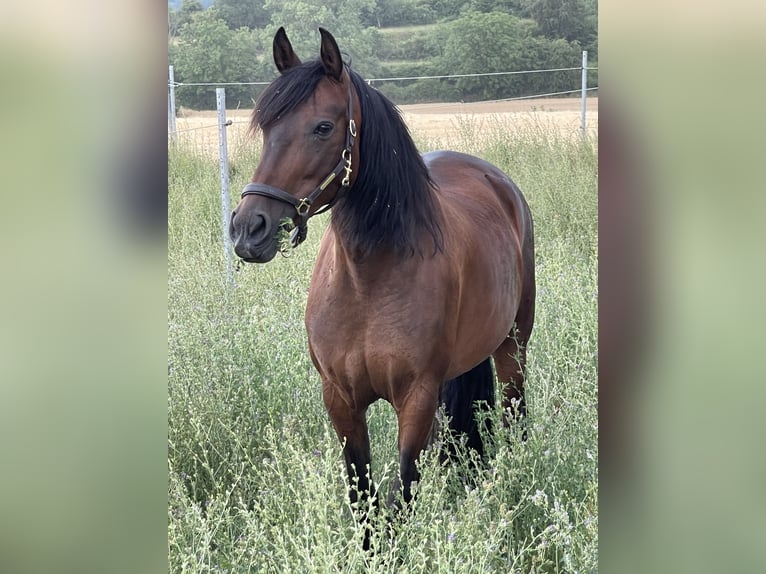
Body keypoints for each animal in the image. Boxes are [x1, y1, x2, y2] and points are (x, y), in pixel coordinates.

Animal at [231, 27, 536, 548]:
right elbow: (364, 498)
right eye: (268, 128)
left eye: (323, 127)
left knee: (513, 419)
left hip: (512, 350)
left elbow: (401, 498)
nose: (249, 229)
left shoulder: (415, 400)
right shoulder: (340, 399)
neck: (367, 281)